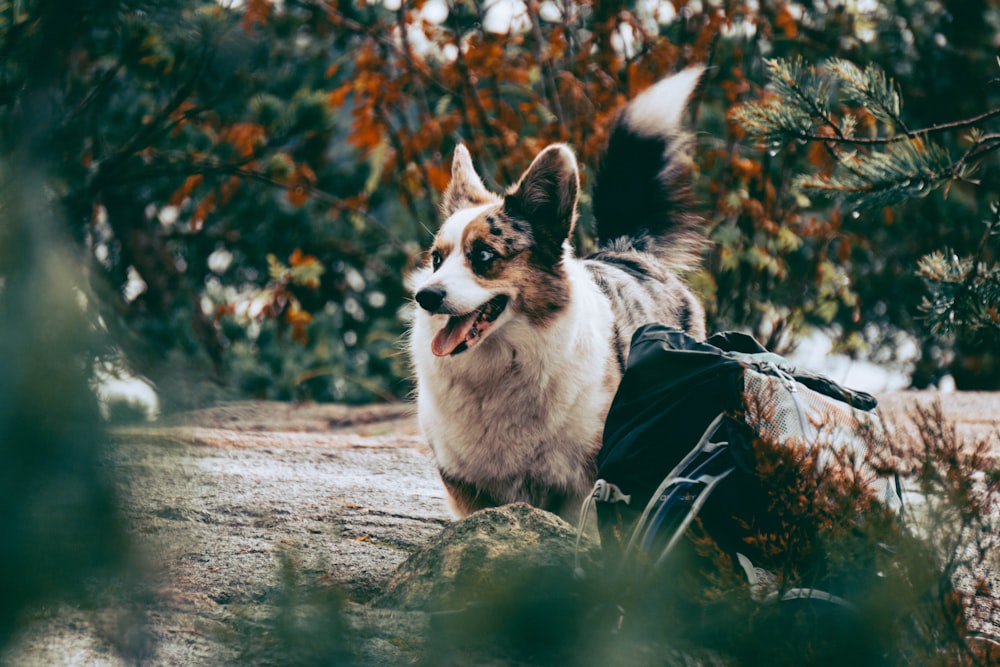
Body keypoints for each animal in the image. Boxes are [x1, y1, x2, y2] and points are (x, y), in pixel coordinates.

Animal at [410, 66, 708, 520]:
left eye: (483, 256)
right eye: (437, 259)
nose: (425, 298)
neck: (501, 363)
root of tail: (627, 249)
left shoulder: (580, 486)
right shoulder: (469, 488)